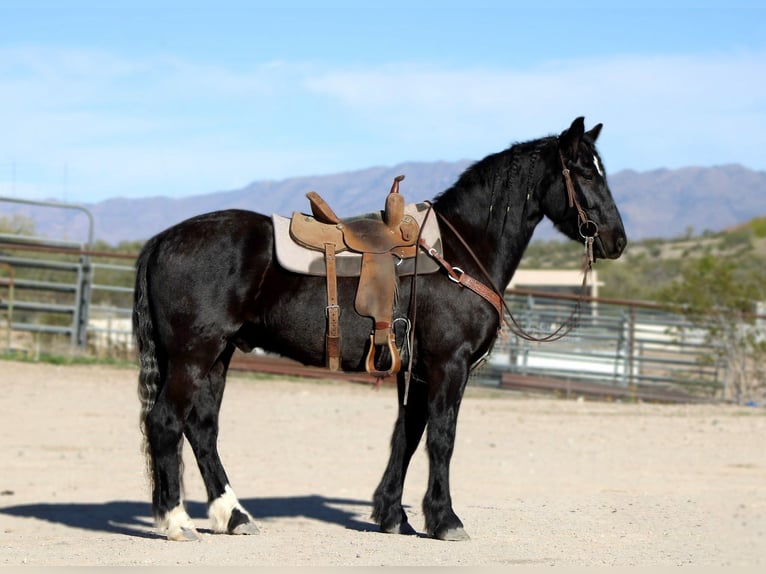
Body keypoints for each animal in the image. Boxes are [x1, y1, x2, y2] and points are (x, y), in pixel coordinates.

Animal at [132, 117, 627, 541]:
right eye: (584, 172)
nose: (616, 240)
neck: (459, 253)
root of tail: (162, 240)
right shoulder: (449, 365)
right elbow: (441, 438)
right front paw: (445, 520)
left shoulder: (418, 371)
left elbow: (406, 437)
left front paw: (393, 516)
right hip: (194, 355)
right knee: (166, 421)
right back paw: (178, 522)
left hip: (219, 355)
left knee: (202, 429)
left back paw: (233, 516)